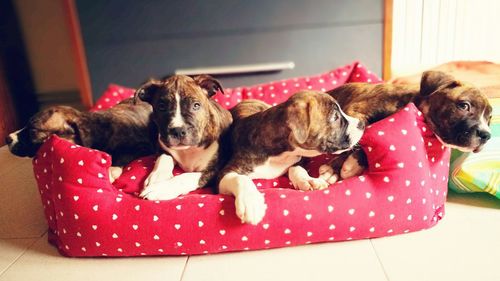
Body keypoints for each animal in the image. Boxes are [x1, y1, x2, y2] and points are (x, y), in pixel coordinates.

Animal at [218, 91, 364, 224]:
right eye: (335, 117)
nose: (361, 124)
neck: (281, 154)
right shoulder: (224, 174)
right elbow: (240, 178)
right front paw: (251, 203)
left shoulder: (301, 158)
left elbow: (297, 168)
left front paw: (307, 180)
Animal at [318, 70, 494, 182]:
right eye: (464, 106)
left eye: (489, 118)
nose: (486, 135)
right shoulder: (355, 112)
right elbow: (352, 139)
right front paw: (333, 170)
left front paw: (353, 163)